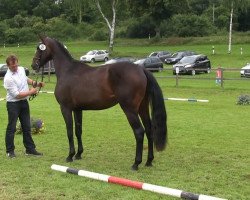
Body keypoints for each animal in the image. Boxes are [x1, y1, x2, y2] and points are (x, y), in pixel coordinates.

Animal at [31, 36, 168, 170]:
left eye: (39, 48)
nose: (33, 65)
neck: (68, 70)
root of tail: (141, 69)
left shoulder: (65, 108)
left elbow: (69, 131)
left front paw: (70, 156)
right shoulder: (77, 109)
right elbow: (78, 131)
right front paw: (78, 154)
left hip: (130, 109)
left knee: (139, 132)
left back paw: (136, 163)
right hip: (142, 107)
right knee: (149, 130)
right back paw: (149, 161)